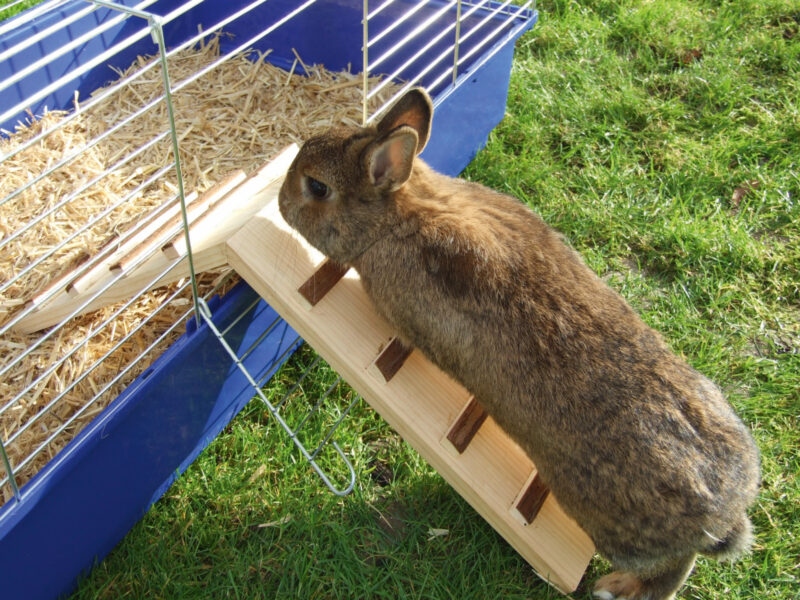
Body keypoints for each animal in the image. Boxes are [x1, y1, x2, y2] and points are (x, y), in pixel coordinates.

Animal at [278, 86, 760, 596]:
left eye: (317, 188)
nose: (280, 202)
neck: (399, 215)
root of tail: (727, 513)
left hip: (615, 529)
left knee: (671, 571)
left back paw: (613, 586)